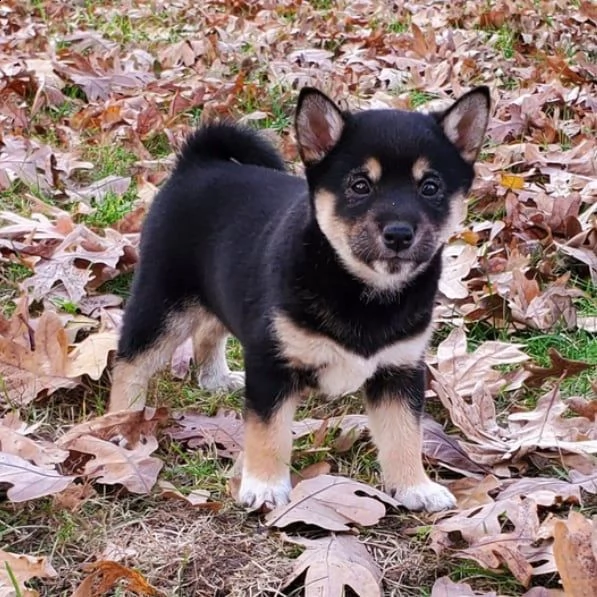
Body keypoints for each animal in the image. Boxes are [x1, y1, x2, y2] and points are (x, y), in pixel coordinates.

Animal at [108, 85, 488, 512]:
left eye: (430, 187)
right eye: (360, 186)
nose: (399, 234)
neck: (361, 289)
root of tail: (197, 162)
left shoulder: (400, 370)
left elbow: (403, 434)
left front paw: (414, 486)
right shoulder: (271, 363)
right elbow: (269, 433)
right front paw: (265, 485)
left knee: (208, 329)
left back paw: (215, 379)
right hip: (163, 302)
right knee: (131, 362)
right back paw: (119, 426)